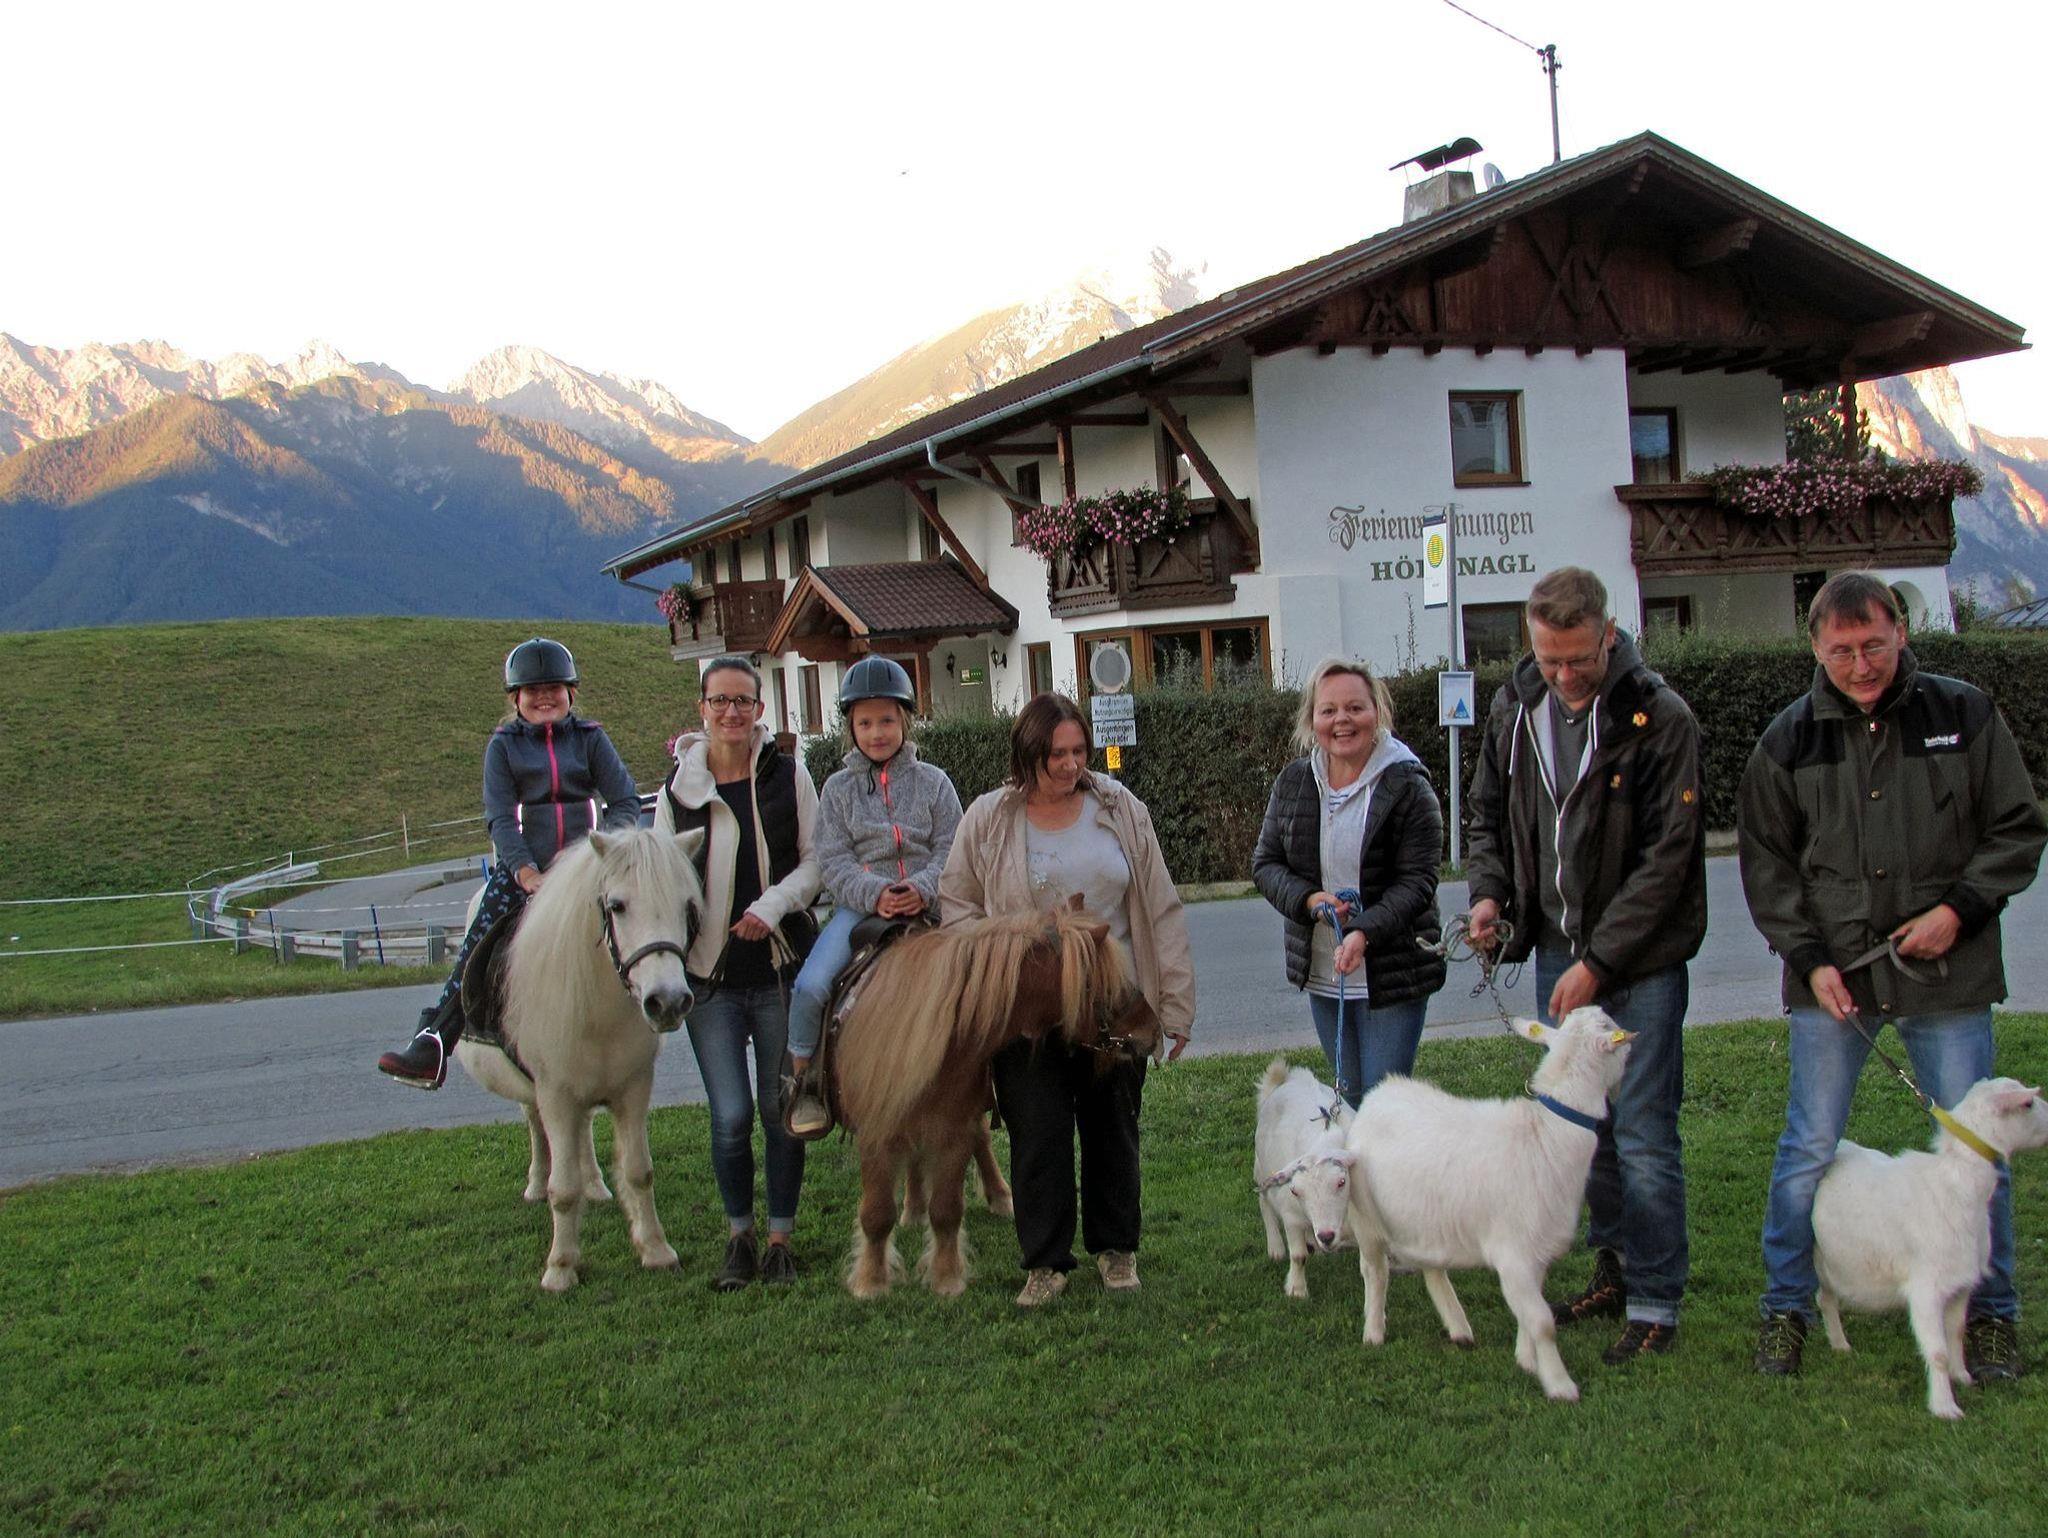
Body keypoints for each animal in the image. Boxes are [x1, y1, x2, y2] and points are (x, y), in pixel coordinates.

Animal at [1254, 1057, 1357, 1298]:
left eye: (1342, 1182)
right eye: (1294, 1190)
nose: (1326, 1236)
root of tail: (1285, 1080)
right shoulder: (1290, 1213)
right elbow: (1298, 1256)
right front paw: (1297, 1290)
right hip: (1261, 1167)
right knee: (1264, 1201)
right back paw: (1276, 1248)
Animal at [1344, 1009, 1634, 1402]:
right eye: (1609, 1027)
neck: (1546, 1134)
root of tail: (1379, 1092)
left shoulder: (1535, 1252)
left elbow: (1530, 1314)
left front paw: (1527, 1361)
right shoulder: (1512, 1253)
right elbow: (1542, 1321)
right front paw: (1560, 1385)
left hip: (1424, 1218)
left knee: (1432, 1268)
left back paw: (1458, 1327)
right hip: (1366, 1219)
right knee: (1375, 1273)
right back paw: (1374, 1332)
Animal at [1812, 1076, 2048, 1420]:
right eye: (2028, 1104)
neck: (1958, 1188)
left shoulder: (1961, 1283)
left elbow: (1956, 1332)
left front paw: (1961, 1377)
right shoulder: (1925, 1288)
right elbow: (1937, 1352)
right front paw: (1945, 1407)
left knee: (1826, 1298)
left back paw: (1839, 1344)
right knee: (1823, 1297)